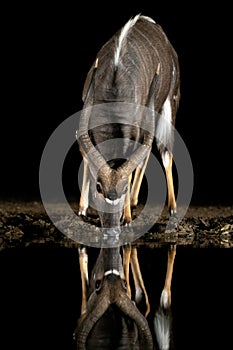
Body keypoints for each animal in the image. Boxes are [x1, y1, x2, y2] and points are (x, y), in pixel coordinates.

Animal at [76, 14, 180, 232]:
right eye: (99, 187)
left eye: (123, 188)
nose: (111, 225)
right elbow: (87, 156)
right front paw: (82, 209)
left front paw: (127, 219)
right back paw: (133, 201)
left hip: (169, 104)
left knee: (165, 152)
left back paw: (173, 211)